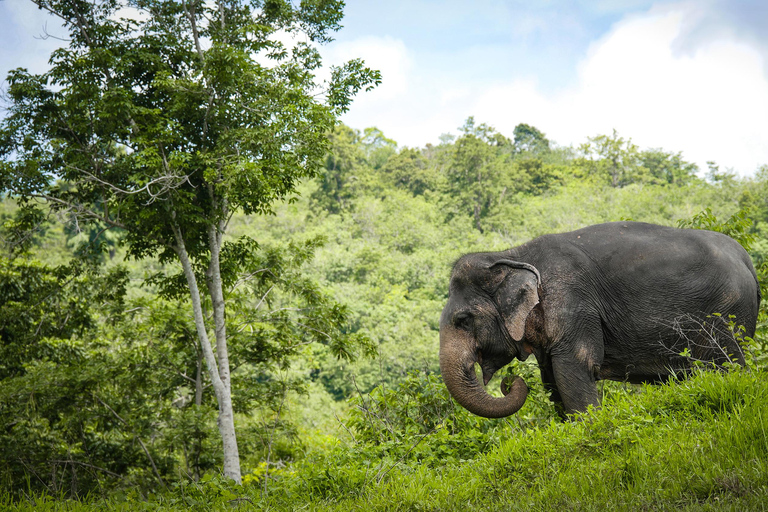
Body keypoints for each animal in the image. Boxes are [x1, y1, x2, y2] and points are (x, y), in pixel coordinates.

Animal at [440, 222, 760, 418]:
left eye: (463, 320)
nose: (509, 383)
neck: (512, 254)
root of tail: (747, 260)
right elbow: (551, 378)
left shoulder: (573, 303)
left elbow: (574, 368)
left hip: (726, 312)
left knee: (725, 365)